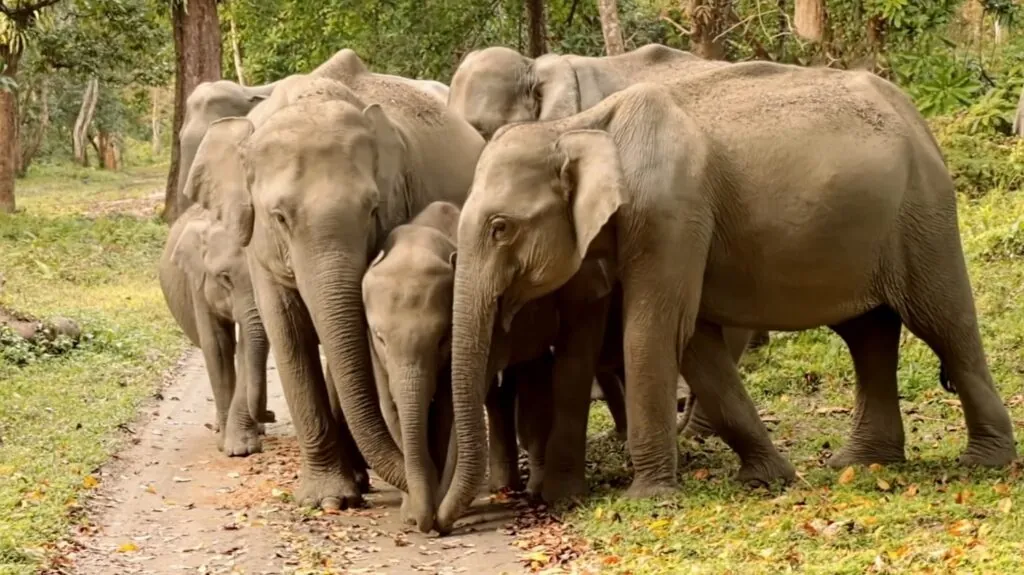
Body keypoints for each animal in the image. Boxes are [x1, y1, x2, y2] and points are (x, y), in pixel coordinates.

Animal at [157, 203, 274, 454]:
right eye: (225, 277)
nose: (271, 414)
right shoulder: (197, 284)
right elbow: (217, 346)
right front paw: (227, 444)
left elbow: (246, 346)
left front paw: (241, 447)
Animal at [187, 52, 483, 509]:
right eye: (279, 217)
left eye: (373, 208)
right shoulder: (259, 248)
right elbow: (288, 330)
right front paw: (328, 499)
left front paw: (346, 491)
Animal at [436, 60, 1019, 532]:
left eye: (500, 228)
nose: (440, 526)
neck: (579, 127)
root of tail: (918, 117)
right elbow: (694, 341)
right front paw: (768, 477)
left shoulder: (669, 211)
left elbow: (654, 330)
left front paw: (648, 498)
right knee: (868, 333)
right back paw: (860, 464)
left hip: (923, 215)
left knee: (944, 322)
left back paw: (983, 463)